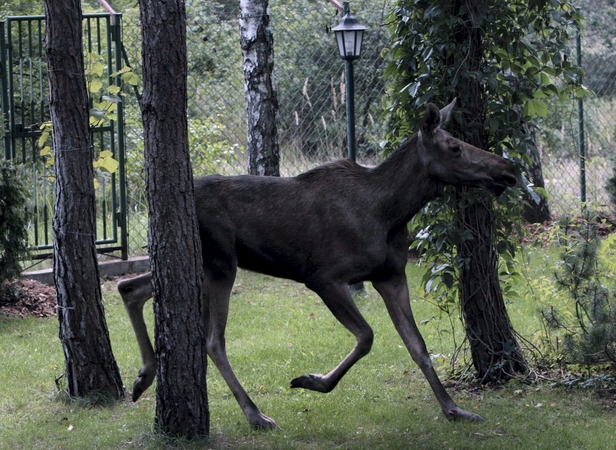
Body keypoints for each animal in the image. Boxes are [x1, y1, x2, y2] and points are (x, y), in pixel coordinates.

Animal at [118, 100, 516, 430]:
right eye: (455, 147)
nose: (508, 168)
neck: (392, 212)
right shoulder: (325, 277)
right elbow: (367, 336)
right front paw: (312, 381)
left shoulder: (391, 276)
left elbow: (418, 346)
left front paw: (454, 409)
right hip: (219, 262)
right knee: (213, 339)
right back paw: (255, 414)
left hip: (202, 264)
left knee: (130, 286)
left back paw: (144, 375)